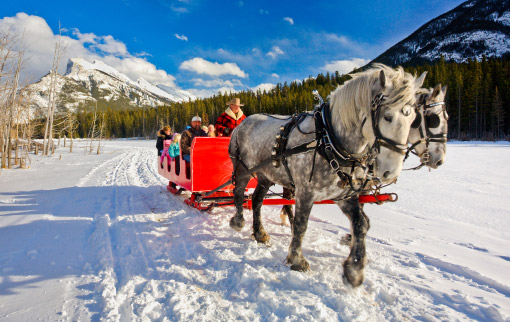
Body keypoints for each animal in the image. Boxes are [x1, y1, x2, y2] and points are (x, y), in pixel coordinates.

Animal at [229, 65, 424, 286]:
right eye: (387, 116)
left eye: (414, 119)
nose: (390, 172)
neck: (329, 139)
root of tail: (243, 123)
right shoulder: (305, 192)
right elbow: (301, 225)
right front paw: (297, 260)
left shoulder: (344, 195)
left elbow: (361, 224)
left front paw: (354, 269)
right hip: (243, 169)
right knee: (238, 193)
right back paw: (238, 221)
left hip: (265, 175)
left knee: (256, 200)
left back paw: (260, 233)